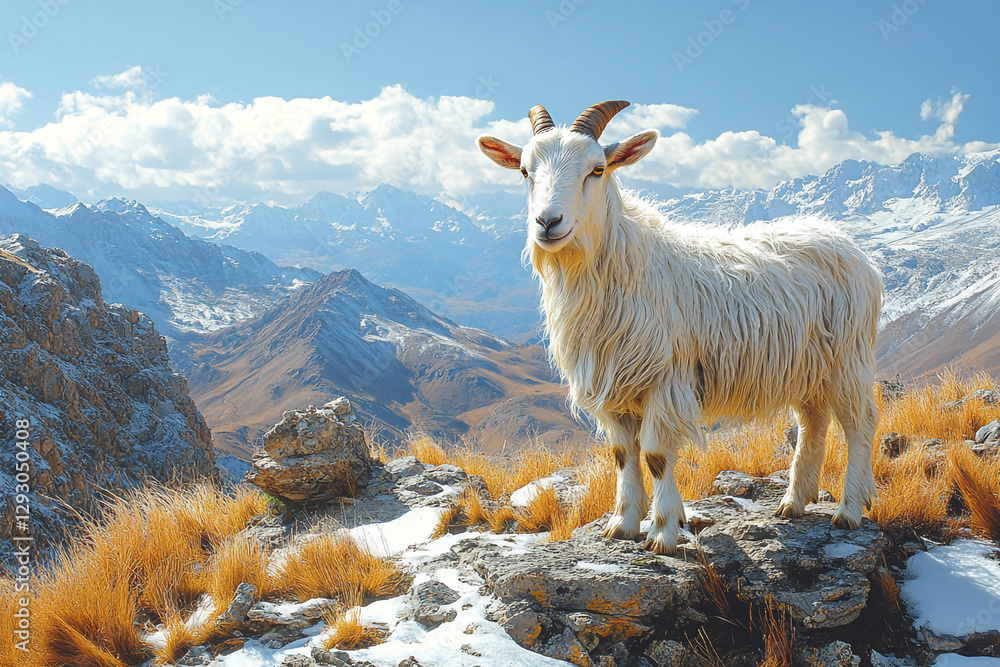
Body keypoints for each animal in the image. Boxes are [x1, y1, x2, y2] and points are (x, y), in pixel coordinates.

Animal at [478, 100, 882, 555]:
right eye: (524, 171)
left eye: (597, 169)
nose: (548, 222)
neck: (626, 264)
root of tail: (852, 246)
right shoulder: (612, 386)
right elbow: (622, 454)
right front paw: (622, 524)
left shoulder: (665, 380)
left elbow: (655, 456)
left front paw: (662, 532)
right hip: (806, 366)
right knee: (814, 422)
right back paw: (794, 502)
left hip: (848, 358)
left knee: (861, 422)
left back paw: (849, 510)